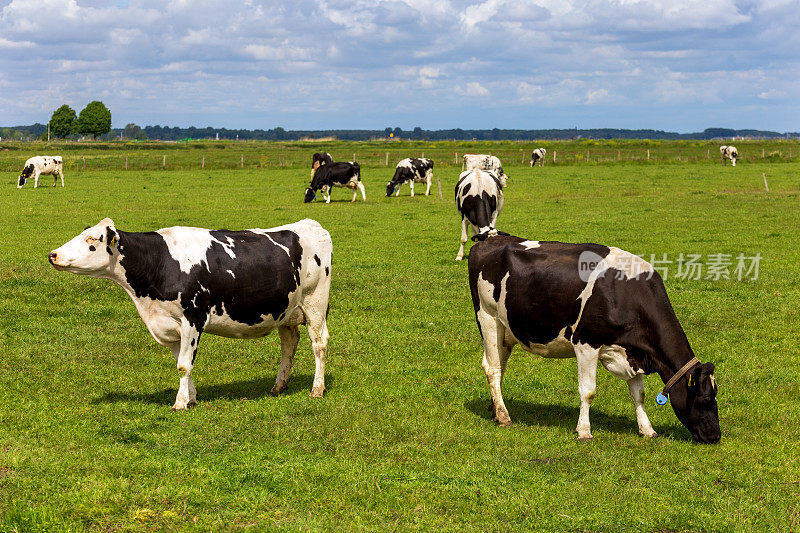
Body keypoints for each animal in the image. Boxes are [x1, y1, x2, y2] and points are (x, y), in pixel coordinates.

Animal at [49, 218, 332, 410]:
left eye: (91, 240)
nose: (53, 255)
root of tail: (312, 224)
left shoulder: (192, 319)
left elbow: (184, 365)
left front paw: (180, 403)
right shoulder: (169, 325)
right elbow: (182, 363)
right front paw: (192, 398)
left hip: (315, 303)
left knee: (319, 344)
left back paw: (317, 389)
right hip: (286, 310)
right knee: (289, 344)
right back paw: (278, 386)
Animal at [468, 235, 724, 442]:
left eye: (715, 395)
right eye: (705, 398)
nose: (715, 436)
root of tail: (488, 240)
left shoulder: (632, 351)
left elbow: (638, 394)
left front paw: (647, 429)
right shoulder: (586, 343)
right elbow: (588, 391)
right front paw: (583, 431)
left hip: (506, 331)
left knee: (497, 366)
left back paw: (495, 408)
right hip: (488, 317)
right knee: (493, 369)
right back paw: (504, 417)